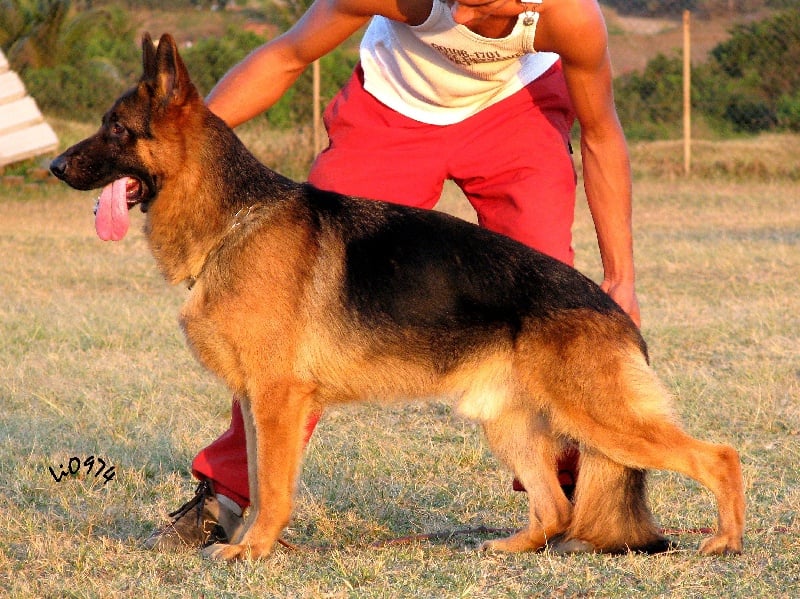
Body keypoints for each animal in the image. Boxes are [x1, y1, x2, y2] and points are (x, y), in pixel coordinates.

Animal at [53, 31, 748, 556]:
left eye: (117, 130)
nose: (54, 167)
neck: (233, 220)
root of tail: (617, 313)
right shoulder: (255, 401)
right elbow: (254, 476)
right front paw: (246, 541)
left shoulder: (277, 399)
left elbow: (273, 487)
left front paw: (251, 552)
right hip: (512, 424)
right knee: (552, 507)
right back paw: (514, 547)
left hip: (599, 417)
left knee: (719, 456)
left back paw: (725, 542)